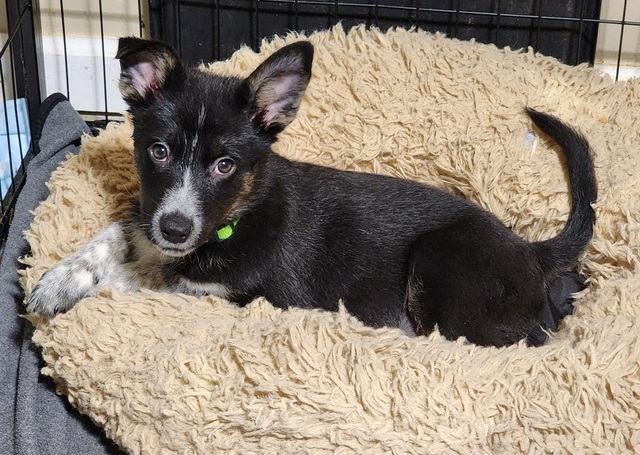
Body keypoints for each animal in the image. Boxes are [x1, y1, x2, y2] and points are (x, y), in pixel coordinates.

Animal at [26, 39, 596, 348]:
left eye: (225, 165)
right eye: (159, 151)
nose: (176, 229)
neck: (236, 219)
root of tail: (526, 249)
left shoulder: (238, 296)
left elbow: (141, 280)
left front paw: (90, 287)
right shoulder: (149, 218)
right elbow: (114, 235)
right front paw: (57, 280)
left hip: (441, 269)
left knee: (526, 339)